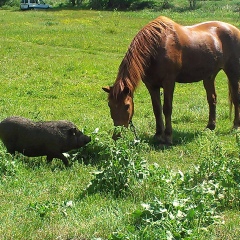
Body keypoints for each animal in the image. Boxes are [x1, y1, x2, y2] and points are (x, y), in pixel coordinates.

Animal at [102, 16, 240, 144]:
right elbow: (157, 109)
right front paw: (158, 135)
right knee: (212, 99)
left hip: (233, 73)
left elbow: (167, 108)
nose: (116, 136)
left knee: (235, 98)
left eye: (127, 106)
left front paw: (168, 136)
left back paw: (235, 126)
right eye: (110, 105)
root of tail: (234, 30)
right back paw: (210, 127)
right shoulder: (151, 85)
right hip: (209, 76)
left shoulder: (169, 83)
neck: (156, 48)